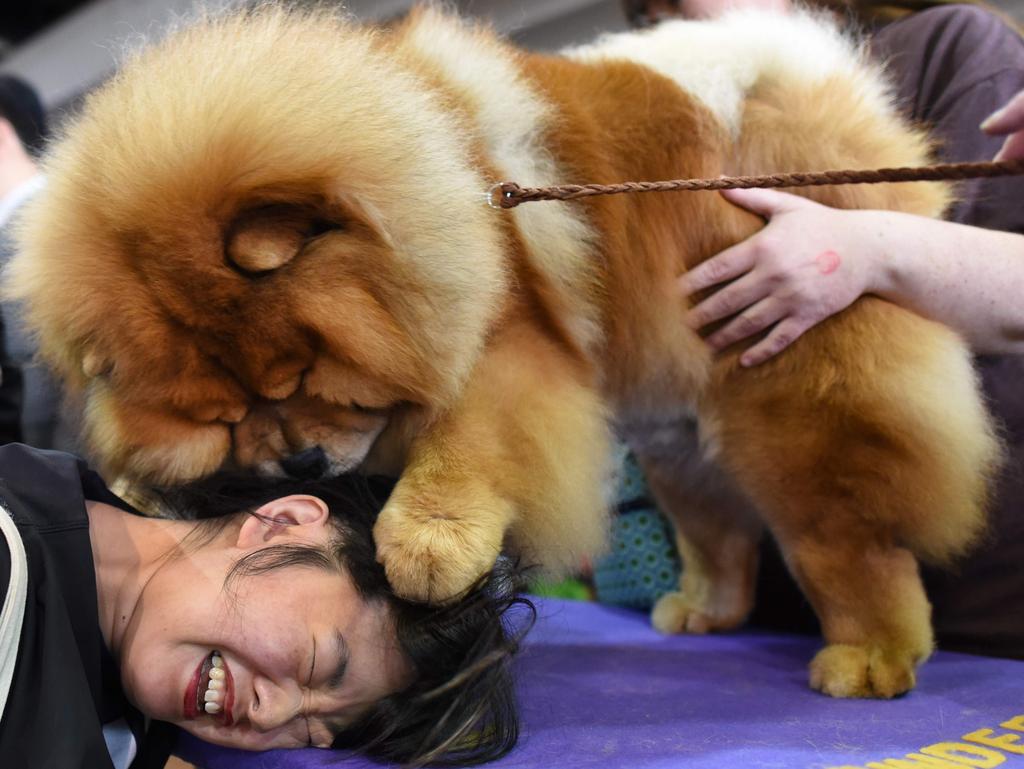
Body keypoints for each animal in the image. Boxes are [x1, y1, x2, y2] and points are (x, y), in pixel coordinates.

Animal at [8, 3, 999, 696]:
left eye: (305, 377)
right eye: (230, 414)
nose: (298, 460)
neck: (444, 191)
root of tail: (806, 104)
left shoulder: (514, 344)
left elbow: (466, 441)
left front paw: (429, 546)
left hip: (786, 397)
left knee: (848, 539)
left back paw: (869, 656)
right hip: (676, 431)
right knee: (720, 528)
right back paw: (704, 612)